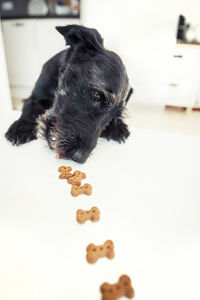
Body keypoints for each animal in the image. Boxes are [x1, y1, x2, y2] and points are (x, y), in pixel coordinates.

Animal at [5, 24, 133, 163]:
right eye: (97, 95)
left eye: (113, 116)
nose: (80, 158)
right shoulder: (34, 98)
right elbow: (29, 109)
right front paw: (21, 127)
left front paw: (117, 125)